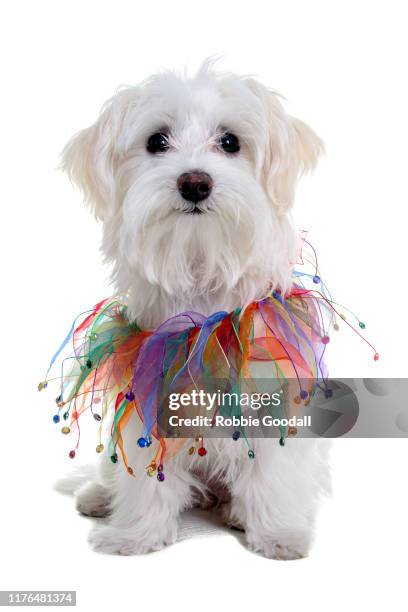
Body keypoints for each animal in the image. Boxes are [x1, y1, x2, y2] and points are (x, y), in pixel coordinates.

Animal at [63, 62, 332, 560]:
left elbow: (272, 473)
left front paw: (279, 535)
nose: (194, 182)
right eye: (156, 141)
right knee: (112, 471)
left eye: (230, 142)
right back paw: (98, 497)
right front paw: (135, 537)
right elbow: (144, 475)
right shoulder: (149, 390)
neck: (200, 267)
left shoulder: (268, 395)